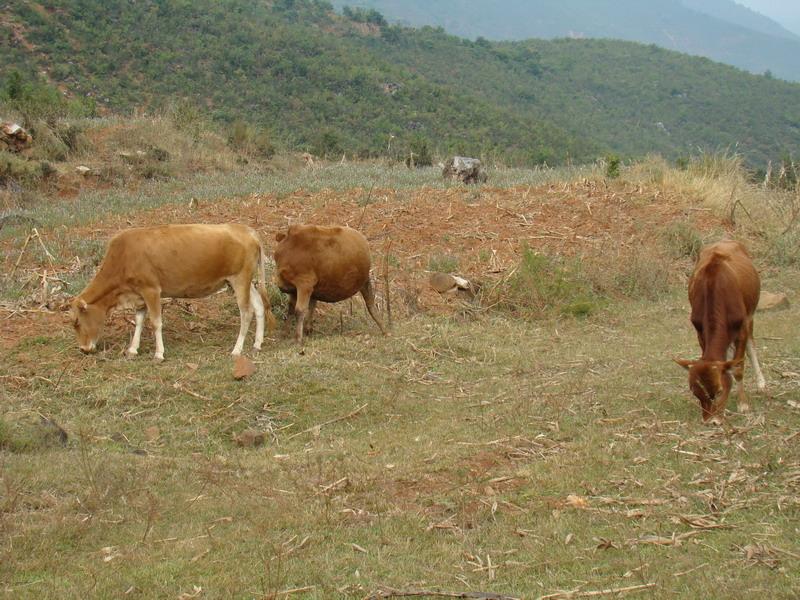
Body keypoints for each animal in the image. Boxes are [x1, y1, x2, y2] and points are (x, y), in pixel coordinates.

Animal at [69, 221, 276, 358]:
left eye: (77, 322)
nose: (83, 349)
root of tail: (247, 230)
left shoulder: (151, 290)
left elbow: (156, 322)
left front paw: (159, 353)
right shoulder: (139, 294)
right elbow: (139, 321)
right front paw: (133, 349)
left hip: (239, 279)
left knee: (246, 312)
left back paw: (237, 349)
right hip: (244, 281)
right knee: (259, 306)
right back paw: (257, 344)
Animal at [680, 239, 764, 422]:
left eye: (718, 391)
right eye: (696, 393)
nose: (709, 419)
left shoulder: (742, 328)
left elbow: (738, 367)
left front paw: (743, 404)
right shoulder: (700, 330)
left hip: (751, 315)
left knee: (751, 346)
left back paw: (761, 382)